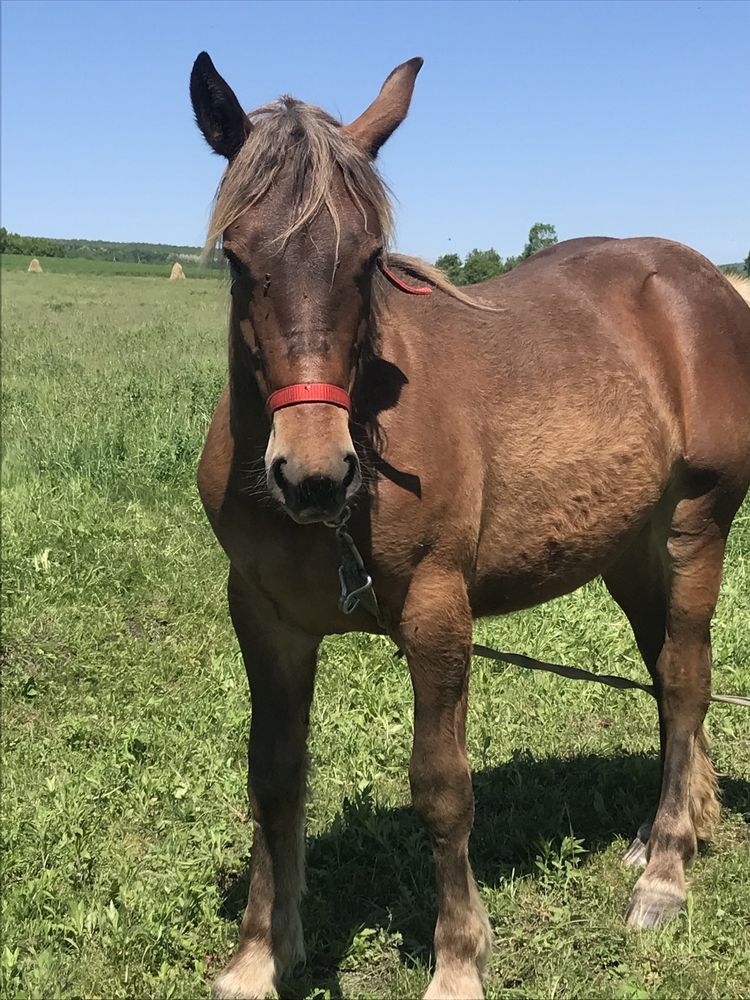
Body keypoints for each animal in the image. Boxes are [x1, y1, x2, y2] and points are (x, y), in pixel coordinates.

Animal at [188, 52, 750, 1000]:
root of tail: (706, 284)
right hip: (633, 552)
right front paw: (259, 954)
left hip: (694, 530)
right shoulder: (264, 617)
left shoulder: (436, 614)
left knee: (683, 685)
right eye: (236, 255)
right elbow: (274, 775)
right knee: (673, 675)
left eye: (369, 259)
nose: (313, 473)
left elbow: (443, 787)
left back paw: (666, 873)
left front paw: (458, 960)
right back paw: (665, 832)